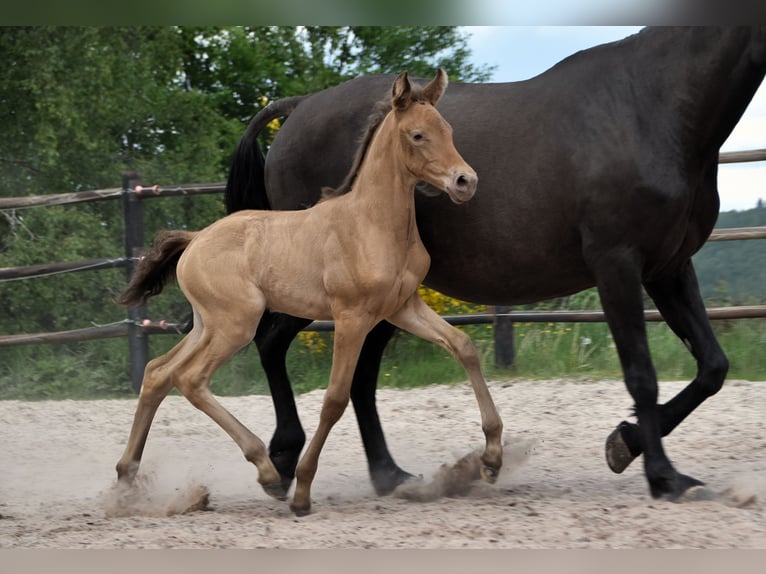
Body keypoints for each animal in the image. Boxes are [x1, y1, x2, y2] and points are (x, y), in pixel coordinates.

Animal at [115, 69, 503, 516]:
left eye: (449, 130)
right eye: (418, 135)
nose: (465, 181)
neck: (372, 223)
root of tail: (194, 240)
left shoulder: (403, 307)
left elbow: (464, 347)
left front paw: (493, 459)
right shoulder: (352, 317)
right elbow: (335, 398)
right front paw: (301, 491)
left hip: (206, 325)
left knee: (158, 372)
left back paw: (125, 479)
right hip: (236, 325)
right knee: (190, 378)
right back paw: (267, 473)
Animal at [225, 27, 766, 502]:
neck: (650, 104)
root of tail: (297, 109)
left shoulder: (668, 268)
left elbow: (713, 366)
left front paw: (625, 443)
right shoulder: (618, 265)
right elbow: (642, 375)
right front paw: (662, 476)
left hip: (380, 300)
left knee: (357, 375)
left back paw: (388, 476)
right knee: (274, 343)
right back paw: (283, 459)